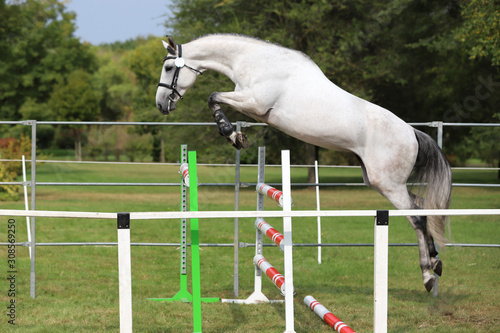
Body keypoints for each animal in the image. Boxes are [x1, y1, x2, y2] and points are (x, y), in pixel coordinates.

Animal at [156, 32, 454, 290]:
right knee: (422, 207)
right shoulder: (252, 107)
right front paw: (236, 136)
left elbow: (213, 97)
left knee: (417, 218)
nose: (161, 104)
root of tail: (412, 133)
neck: (254, 61)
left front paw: (231, 135)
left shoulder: (255, 103)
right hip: (379, 182)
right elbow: (216, 100)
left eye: (169, 68)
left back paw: (428, 274)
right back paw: (436, 261)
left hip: (389, 185)